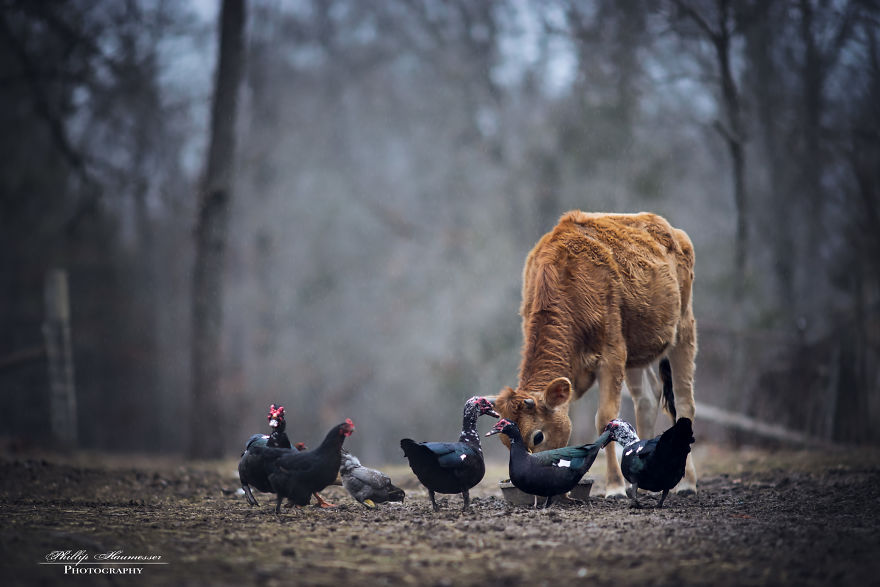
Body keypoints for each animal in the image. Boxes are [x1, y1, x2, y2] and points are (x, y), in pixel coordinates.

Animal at [492, 210, 696, 496]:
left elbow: (605, 419)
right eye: (503, 439)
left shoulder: (613, 353)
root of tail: (668, 227)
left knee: (684, 400)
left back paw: (688, 483)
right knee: (646, 398)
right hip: (636, 350)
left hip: (683, 326)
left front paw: (614, 487)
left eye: (538, 436)